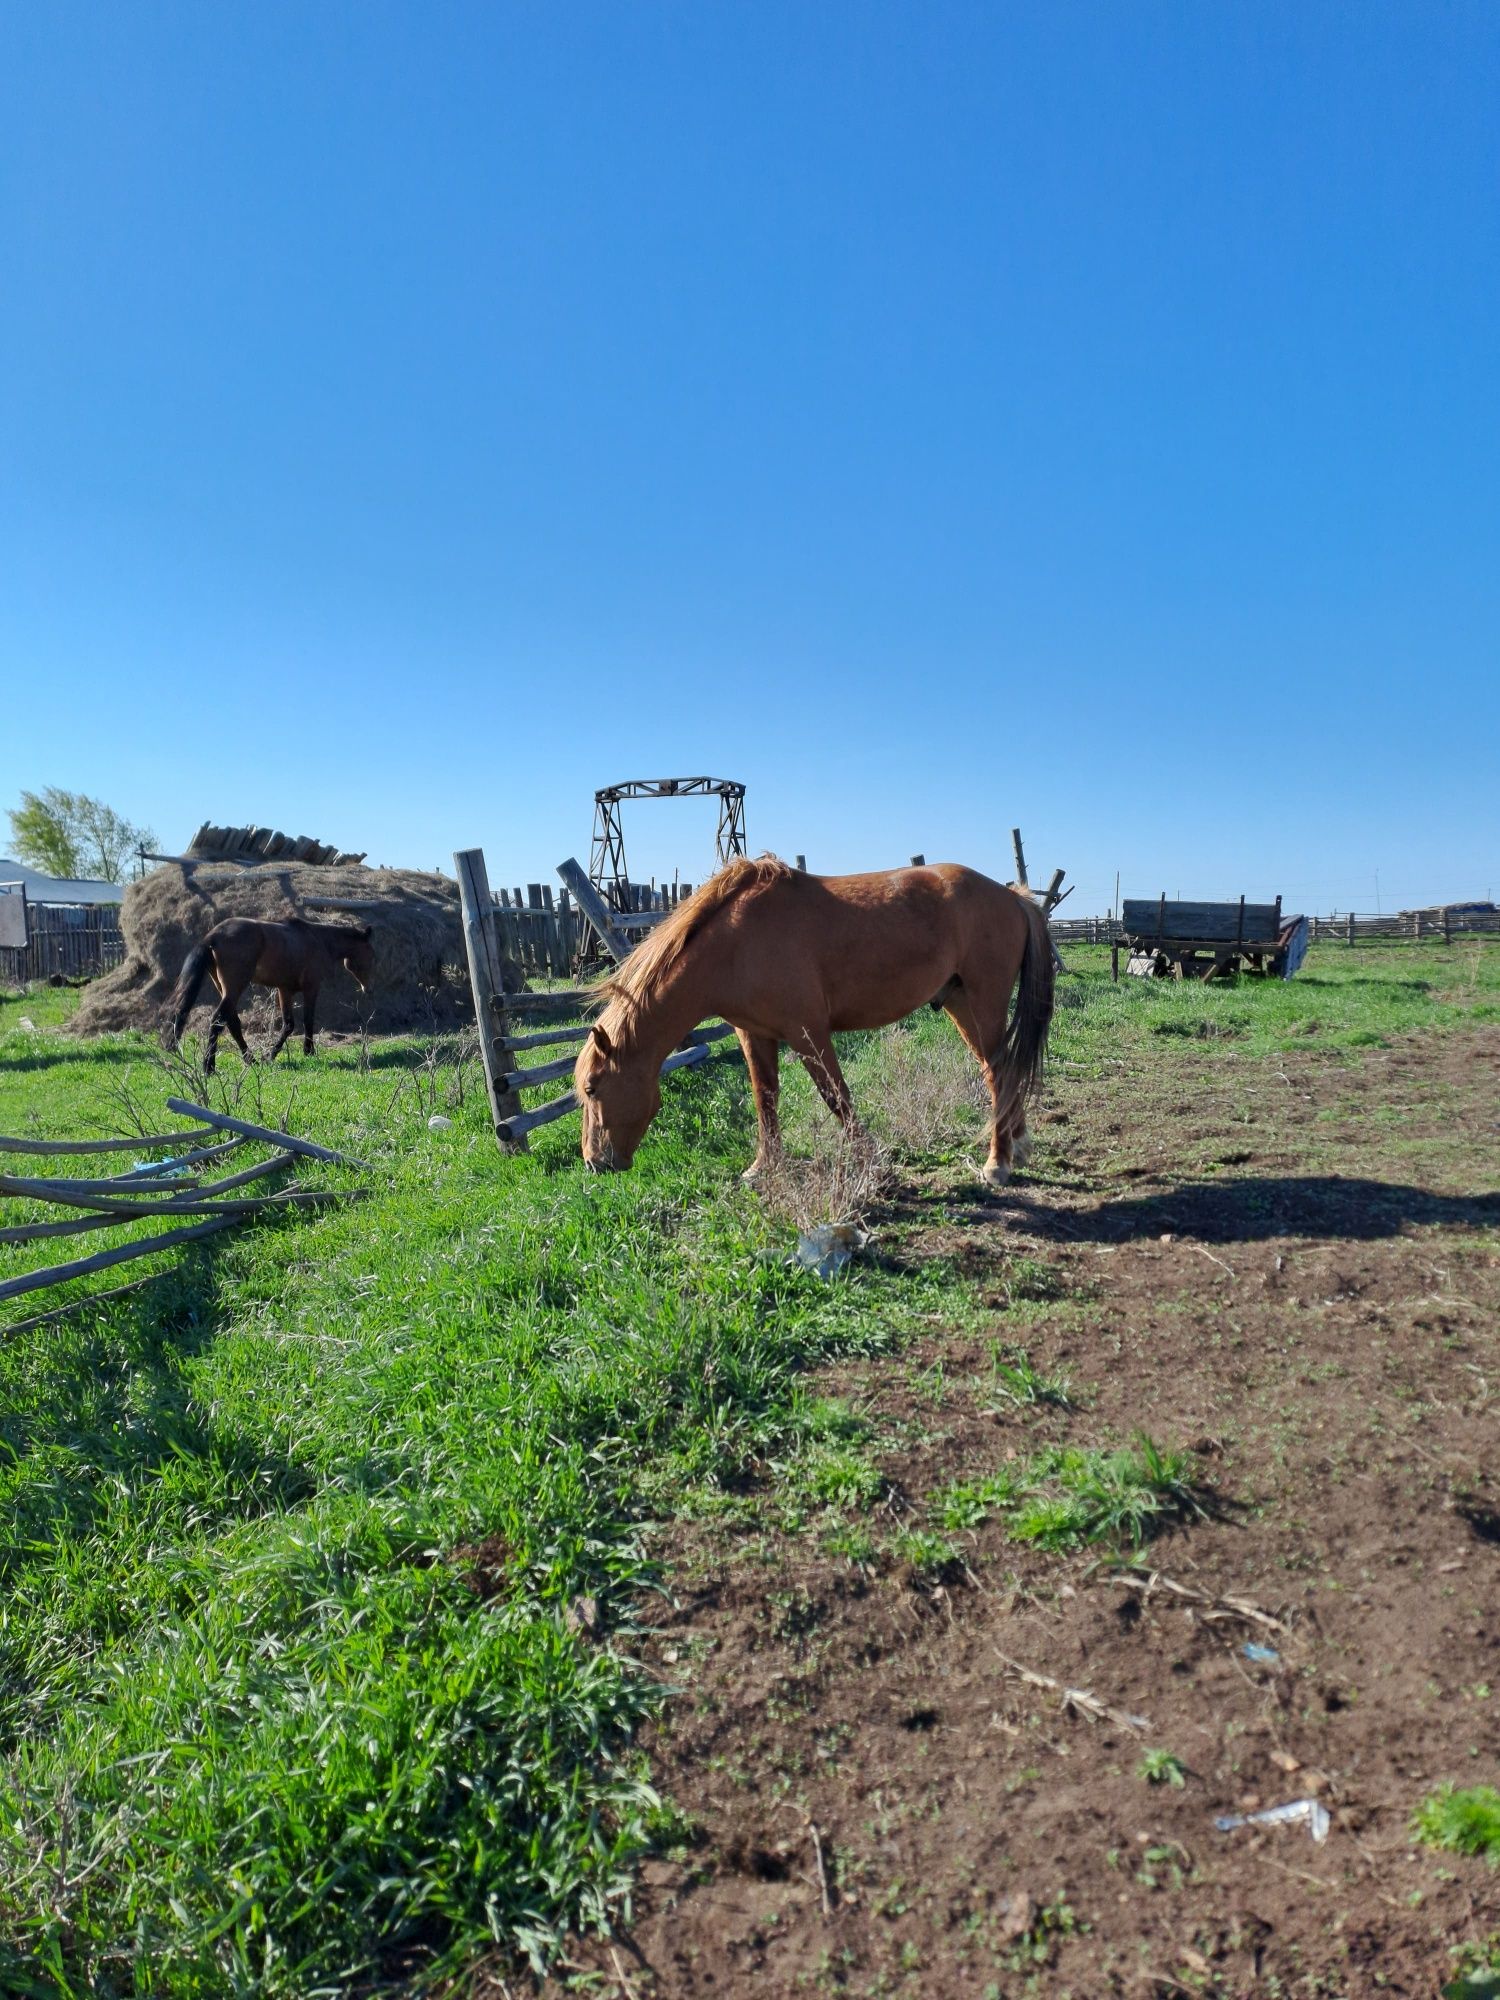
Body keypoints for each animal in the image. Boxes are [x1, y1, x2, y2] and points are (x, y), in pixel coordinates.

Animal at [165, 920, 374, 1080]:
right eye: (371, 953)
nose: (368, 988)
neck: (317, 939)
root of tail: (212, 937)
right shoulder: (311, 988)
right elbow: (307, 1021)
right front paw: (308, 1051)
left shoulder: (285, 990)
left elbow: (289, 1024)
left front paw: (270, 1056)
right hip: (234, 988)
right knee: (218, 1020)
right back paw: (209, 1067)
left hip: (224, 989)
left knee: (232, 1023)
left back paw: (250, 1059)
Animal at [576, 856, 1056, 1184]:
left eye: (592, 1088)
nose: (594, 1162)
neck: (735, 943)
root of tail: (1013, 896)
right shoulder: (755, 1035)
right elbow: (764, 1098)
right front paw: (763, 1167)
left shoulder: (808, 1033)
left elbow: (835, 1096)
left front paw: (872, 1161)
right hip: (960, 1004)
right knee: (998, 1069)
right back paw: (1016, 1146)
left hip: (984, 1001)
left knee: (999, 1071)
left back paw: (997, 1163)